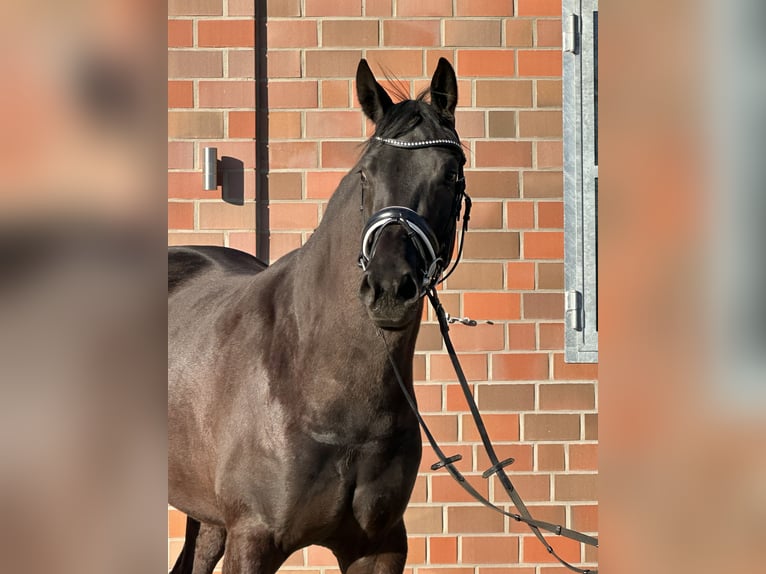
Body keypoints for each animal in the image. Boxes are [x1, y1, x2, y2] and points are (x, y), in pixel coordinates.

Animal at [168, 58, 468, 574]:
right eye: (366, 174)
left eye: (451, 175)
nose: (390, 289)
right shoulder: (252, 539)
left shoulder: (380, 545)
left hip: (205, 516)